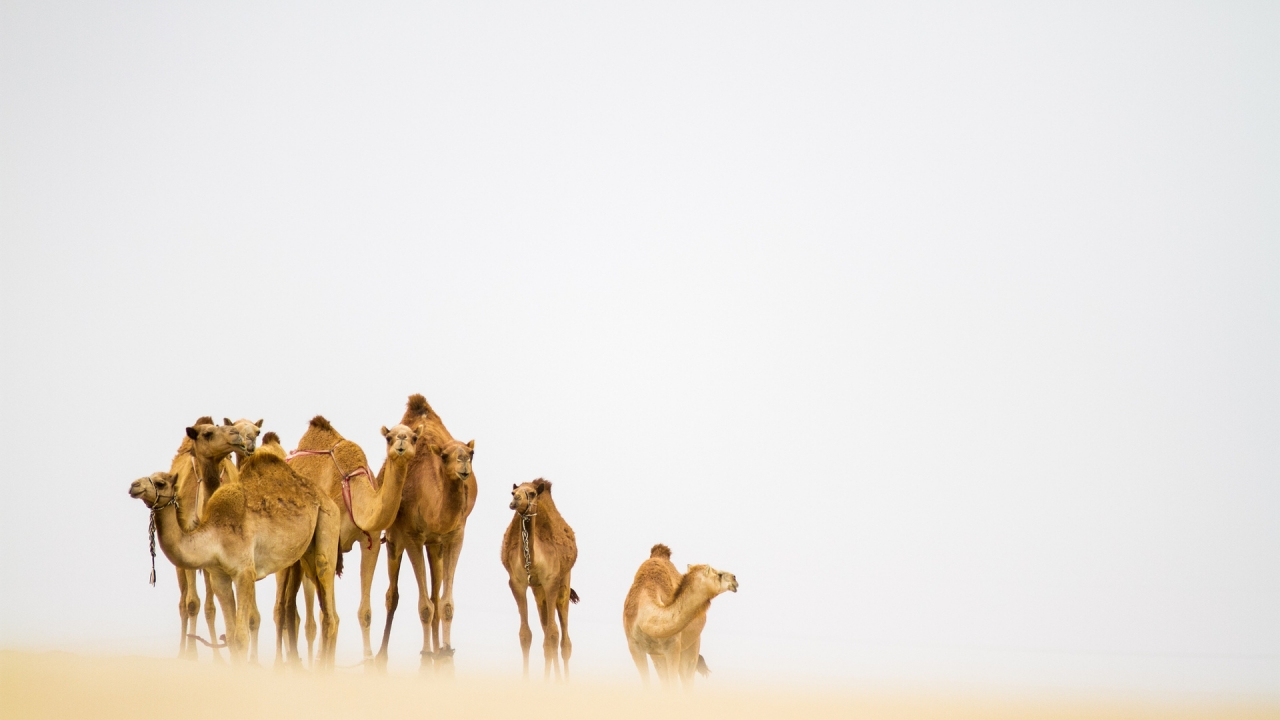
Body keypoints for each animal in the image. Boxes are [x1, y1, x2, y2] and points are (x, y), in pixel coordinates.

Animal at [127, 435, 343, 666]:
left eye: (160, 482)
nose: (133, 485)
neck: (214, 535)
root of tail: (325, 498)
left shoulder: (244, 573)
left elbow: (241, 636)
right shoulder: (219, 576)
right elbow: (230, 636)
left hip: (327, 524)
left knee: (329, 603)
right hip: (306, 552)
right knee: (328, 613)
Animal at [276, 417, 419, 666]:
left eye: (414, 437)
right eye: (389, 437)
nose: (401, 442)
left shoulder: (371, 540)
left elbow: (364, 612)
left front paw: (367, 659)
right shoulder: (331, 543)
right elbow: (329, 612)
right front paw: (325, 661)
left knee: (291, 603)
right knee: (282, 606)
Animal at [381, 389, 481, 671]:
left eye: (471, 453)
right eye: (445, 456)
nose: (463, 464)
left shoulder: (455, 534)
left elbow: (444, 603)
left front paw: (445, 650)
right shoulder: (412, 537)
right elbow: (424, 606)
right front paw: (426, 653)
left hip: (435, 545)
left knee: (436, 595)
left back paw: (438, 647)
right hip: (395, 540)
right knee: (392, 595)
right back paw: (381, 656)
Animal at [499, 476, 581, 676]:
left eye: (532, 493)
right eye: (513, 492)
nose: (515, 501)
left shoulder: (551, 582)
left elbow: (553, 634)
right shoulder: (517, 584)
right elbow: (525, 635)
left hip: (563, 582)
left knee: (562, 638)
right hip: (538, 591)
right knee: (547, 631)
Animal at [622, 540, 742, 686]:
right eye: (718, 574)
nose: (734, 578)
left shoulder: (673, 646)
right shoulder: (634, 646)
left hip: (692, 645)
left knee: (687, 679)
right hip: (658, 655)